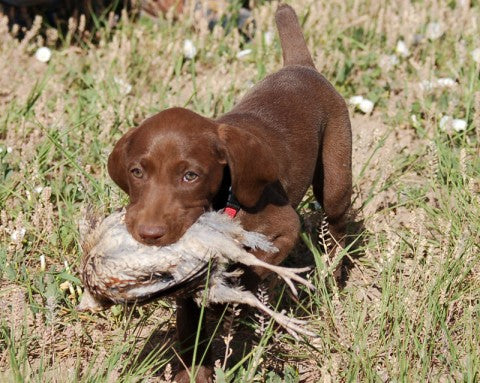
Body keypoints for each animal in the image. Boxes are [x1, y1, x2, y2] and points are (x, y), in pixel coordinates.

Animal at [107, 3, 350, 383]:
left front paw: (232, 300)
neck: (223, 202)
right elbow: (190, 334)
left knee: (337, 225)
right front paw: (195, 370)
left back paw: (333, 277)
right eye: (137, 172)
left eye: (190, 176)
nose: (148, 233)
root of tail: (301, 67)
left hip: (335, 177)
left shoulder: (284, 230)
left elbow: (253, 270)